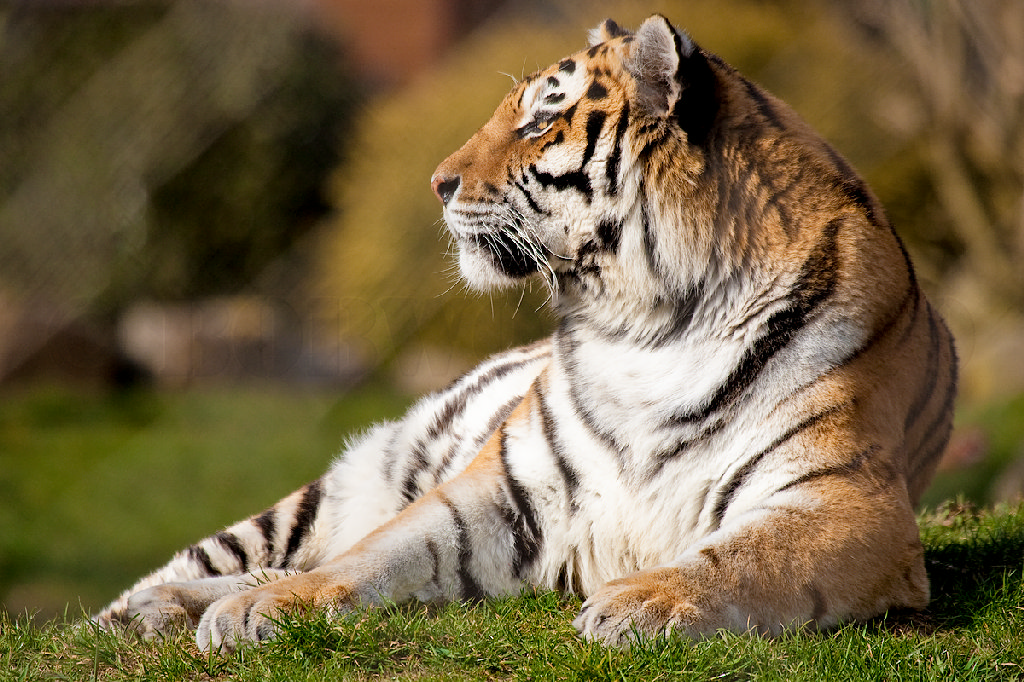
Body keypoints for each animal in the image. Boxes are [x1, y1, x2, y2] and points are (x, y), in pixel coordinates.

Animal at [94, 14, 957, 650]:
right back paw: (146, 608)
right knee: (262, 553)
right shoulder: (506, 489)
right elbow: (379, 553)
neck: (647, 327)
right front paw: (265, 609)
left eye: (542, 119)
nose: (436, 183)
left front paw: (641, 601)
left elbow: (748, 556)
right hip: (337, 486)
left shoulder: (845, 502)